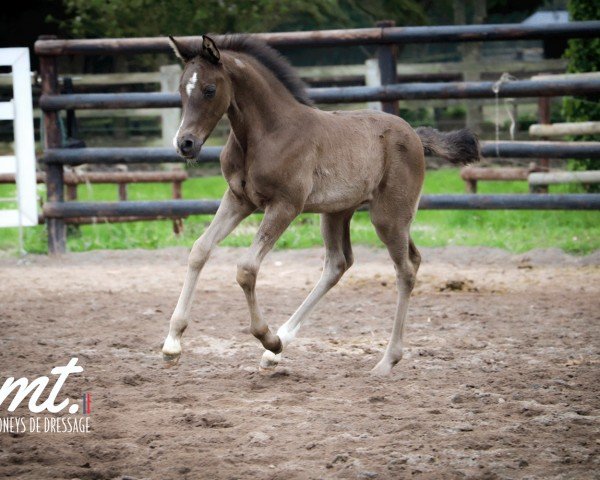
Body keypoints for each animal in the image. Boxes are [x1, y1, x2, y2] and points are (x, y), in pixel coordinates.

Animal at [161, 35, 478, 376]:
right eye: (181, 89)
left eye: (210, 89)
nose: (185, 144)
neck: (267, 133)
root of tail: (416, 136)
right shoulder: (238, 199)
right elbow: (200, 250)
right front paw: (172, 344)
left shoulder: (286, 205)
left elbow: (246, 268)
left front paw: (267, 337)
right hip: (341, 212)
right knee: (343, 263)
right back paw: (279, 348)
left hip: (388, 216)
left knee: (404, 269)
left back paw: (385, 360)